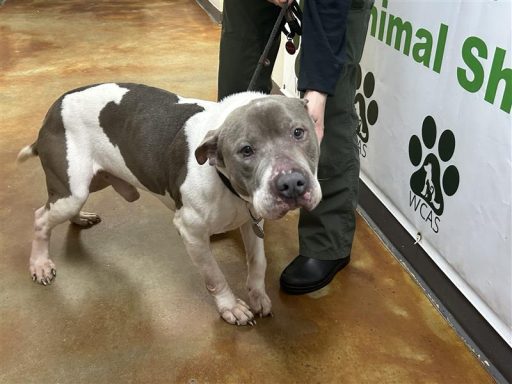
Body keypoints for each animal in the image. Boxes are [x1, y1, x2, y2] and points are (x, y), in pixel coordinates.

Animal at [18, 83, 322, 324]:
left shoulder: (251, 219)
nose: (292, 183)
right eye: (246, 150)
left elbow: (258, 261)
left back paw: (80, 219)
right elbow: (215, 276)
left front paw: (258, 295)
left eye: (298, 132)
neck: (225, 179)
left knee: (57, 205)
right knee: (40, 216)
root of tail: (52, 110)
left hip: (91, 182)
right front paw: (230, 307)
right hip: (72, 192)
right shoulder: (191, 232)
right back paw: (40, 263)